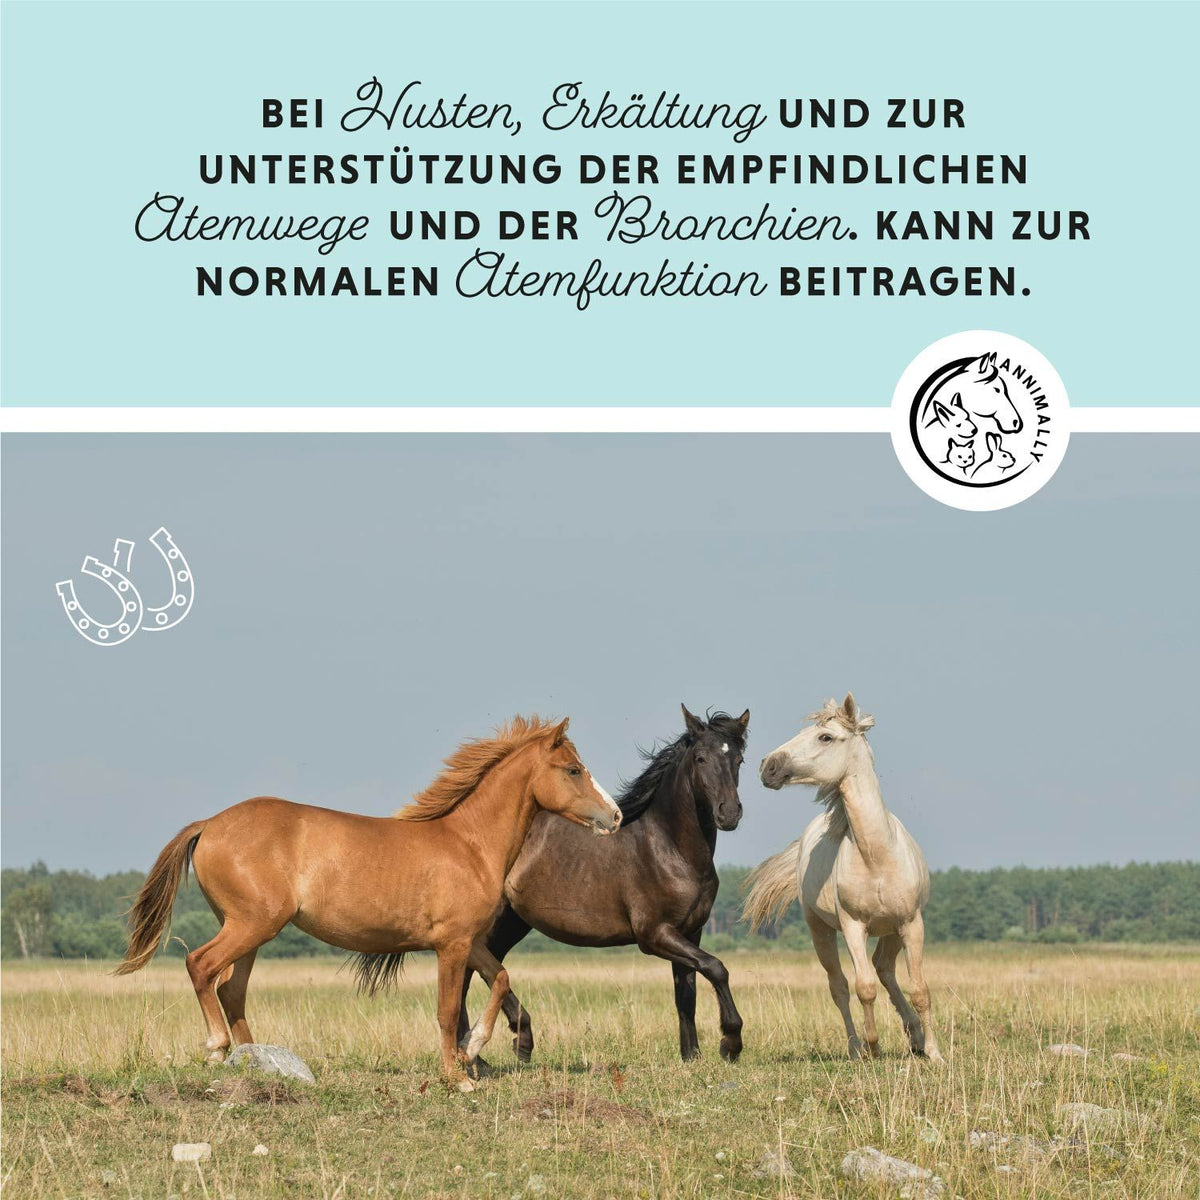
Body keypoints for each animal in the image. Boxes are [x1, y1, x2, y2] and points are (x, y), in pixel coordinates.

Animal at [115, 716, 621, 1089]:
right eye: (573, 769)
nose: (614, 816)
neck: (469, 844)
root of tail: (209, 824)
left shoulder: (470, 941)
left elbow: (500, 980)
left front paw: (473, 1048)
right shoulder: (451, 945)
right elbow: (446, 1009)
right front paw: (457, 1077)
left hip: (251, 931)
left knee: (230, 989)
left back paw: (256, 1060)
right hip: (250, 925)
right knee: (201, 966)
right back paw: (218, 1049)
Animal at [451, 706, 750, 1065]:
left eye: (738, 760)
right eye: (701, 758)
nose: (729, 813)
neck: (670, 849)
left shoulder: (690, 932)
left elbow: (686, 994)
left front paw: (691, 1056)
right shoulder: (655, 935)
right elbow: (716, 968)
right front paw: (730, 1042)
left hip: (512, 922)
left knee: (478, 972)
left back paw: (485, 1051)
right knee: (472, 972)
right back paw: (496, 1046)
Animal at [744, 695, 943, 1062]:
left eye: (825, 737)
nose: (768, 766)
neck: (877, 855)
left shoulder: (911, 923)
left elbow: (920, 989)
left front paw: (935, 1053)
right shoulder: (853, 926)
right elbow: (863, 988)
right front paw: (873, 1047)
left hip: (892, 930)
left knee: (885, 969)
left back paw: (916, 1037)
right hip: (820, 930)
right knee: (840, 986)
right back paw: (856, 1047)